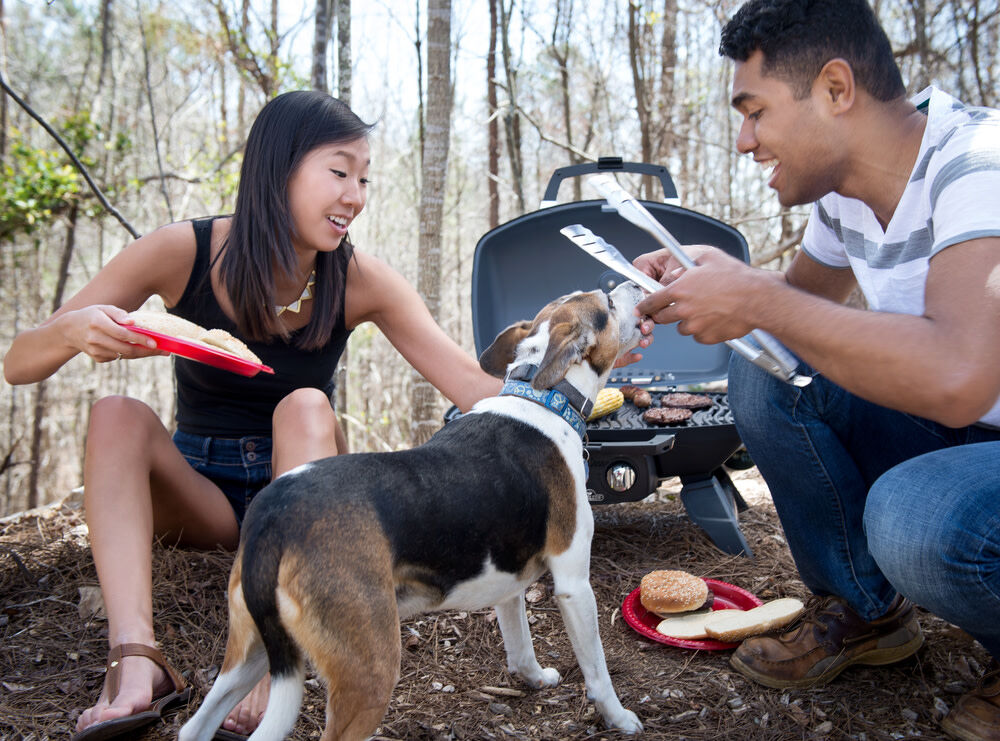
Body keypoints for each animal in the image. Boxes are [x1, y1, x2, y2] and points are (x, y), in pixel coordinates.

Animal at [178, 282, 648, 740]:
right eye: (607, 303)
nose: (636, 286)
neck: (542, 394)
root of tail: (274, 516)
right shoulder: (574, 585)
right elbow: (598, 671)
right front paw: (619, 718)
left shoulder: (509, 584)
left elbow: (520, 647)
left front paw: (533, 679)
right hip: (369, 669)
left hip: (251, 651)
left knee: (194, 726)